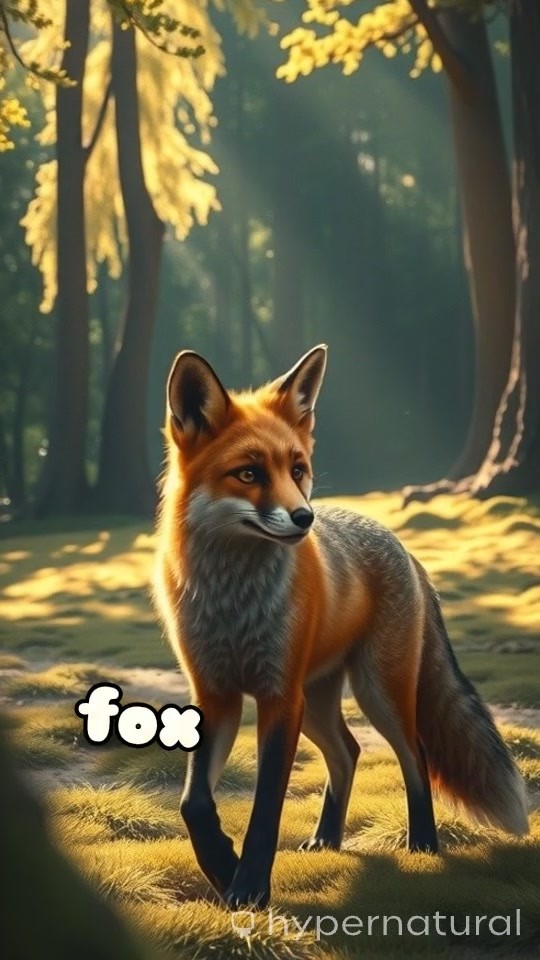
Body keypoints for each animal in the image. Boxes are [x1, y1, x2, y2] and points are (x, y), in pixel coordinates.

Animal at [153, 344, 529, 910]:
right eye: (248, 474)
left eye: (298, 469)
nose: (305, 518)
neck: (234, 604)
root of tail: (404, 549)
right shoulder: (215, 694)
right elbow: (193, 803)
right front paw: (221, 867)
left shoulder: (278, 696)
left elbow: (265, 810)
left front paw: (249, 887)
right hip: (317, 702)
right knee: (347, 752)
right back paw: (328, 837)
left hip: (377, 691)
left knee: (415, 754)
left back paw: (423, 842)